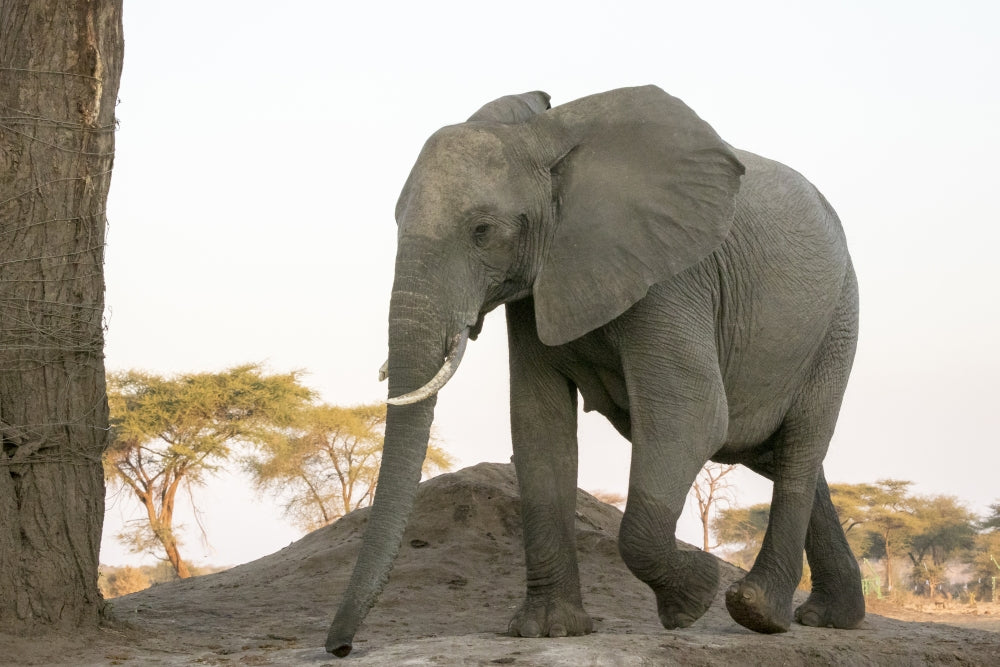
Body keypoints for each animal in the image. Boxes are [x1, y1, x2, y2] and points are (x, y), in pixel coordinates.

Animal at [325, 85, 864, 657]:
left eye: (482, 231)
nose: (340, 648)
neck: (545, 139)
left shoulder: (672, 275)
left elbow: (692, 416)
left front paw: (693, 597)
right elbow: (539, 427)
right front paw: (548, 629)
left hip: (838, 320)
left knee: (798, 446)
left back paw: (758, 611)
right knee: (774, 453)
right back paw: (831, 618)